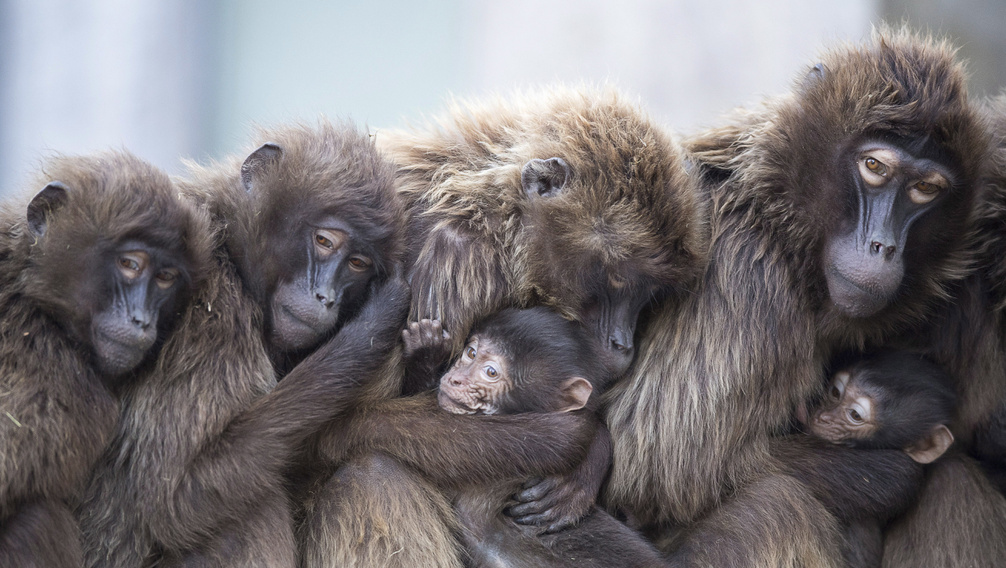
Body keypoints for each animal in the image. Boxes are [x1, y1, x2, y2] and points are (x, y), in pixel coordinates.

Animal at [73, 120, 412, 566]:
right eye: (325, 241)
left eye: (357, 263)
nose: (325, 297)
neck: (231, 253)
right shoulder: (217, 316)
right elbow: (171, 498)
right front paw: (376, 321)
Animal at [603, 28, 989, 562]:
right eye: (874, 166)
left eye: (925, 188)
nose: (883, 246)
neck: (778, 215)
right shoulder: (747, 275)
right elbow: (660, 471)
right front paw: (891, 476)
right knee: (776, 506)